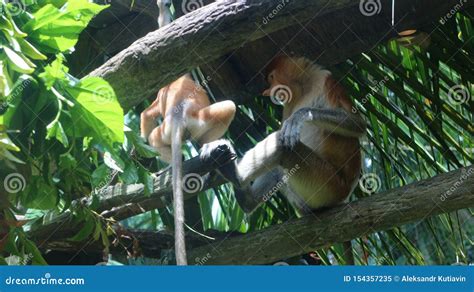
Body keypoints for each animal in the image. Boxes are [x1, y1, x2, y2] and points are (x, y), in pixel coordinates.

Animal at [141, 0, 237, 264]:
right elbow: (146, 115)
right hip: (198, 122)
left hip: (171, 129)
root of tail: (178, 116)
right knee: (229, 107)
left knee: (155, 137)